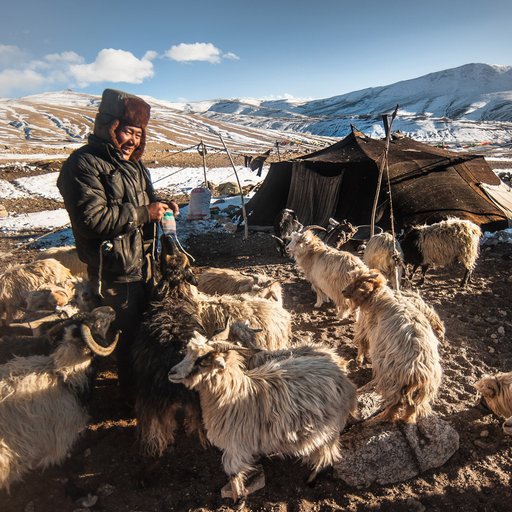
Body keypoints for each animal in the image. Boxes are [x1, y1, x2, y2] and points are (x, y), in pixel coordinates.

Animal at [168, 334, 356, 502]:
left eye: (202, 361)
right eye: (188, 353)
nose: (171, 372)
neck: (233, 394)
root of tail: (346, 382)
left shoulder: (235, 445)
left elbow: (233, 472)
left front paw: (238, 499)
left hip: (328, 430)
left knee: (327, 454)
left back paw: (311, 479)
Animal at [342, 270, 442, 422]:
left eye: (358, 283)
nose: (343, 291)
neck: (379, 297)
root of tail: (419, 371)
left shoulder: (365, 327)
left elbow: (363, 344)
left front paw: (359, 360)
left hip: (392, 380)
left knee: (395, 403)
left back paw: (382, 418)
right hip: (419, 392)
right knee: (412, 407)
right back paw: (408, 420)